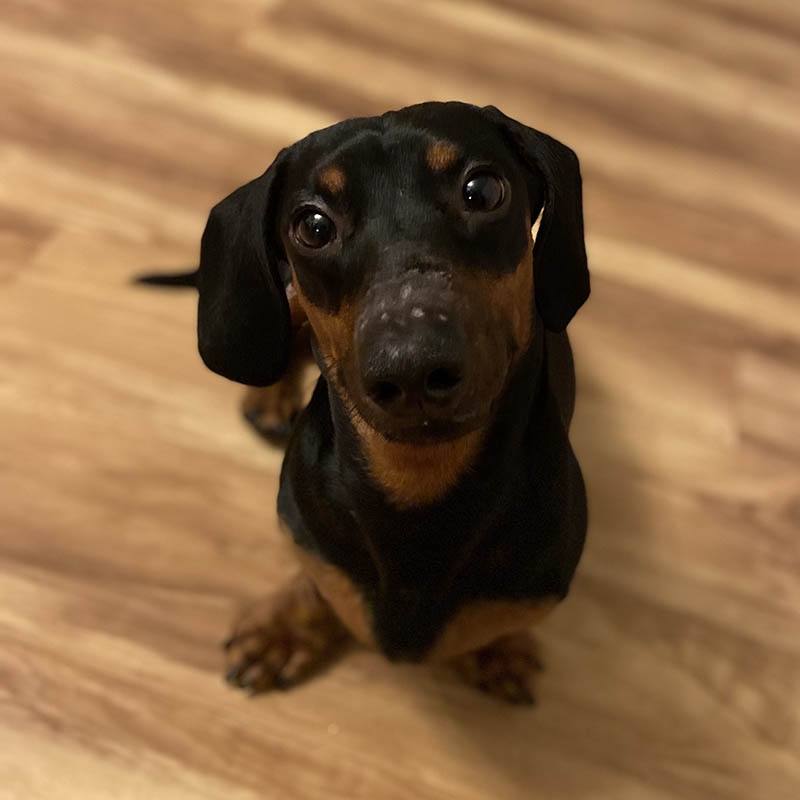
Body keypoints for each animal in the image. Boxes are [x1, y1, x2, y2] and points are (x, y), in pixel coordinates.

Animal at [139, 101, 589, 704]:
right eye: (313, 226)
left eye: (483, 190)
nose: (413, 367)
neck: (416, 483)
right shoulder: (306, 535)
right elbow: (315, 582)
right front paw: (283, 630)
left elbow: (496, 621)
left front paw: (497, 650)